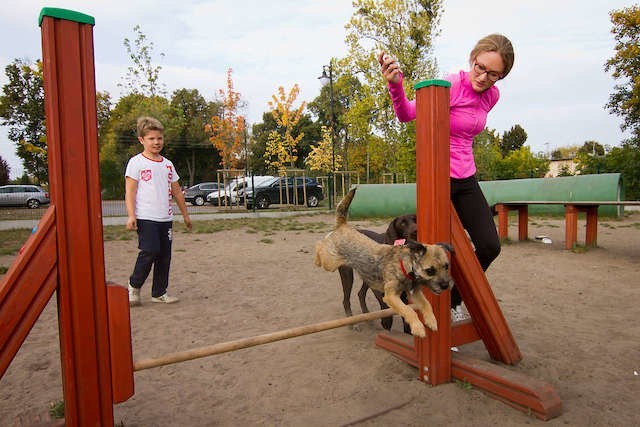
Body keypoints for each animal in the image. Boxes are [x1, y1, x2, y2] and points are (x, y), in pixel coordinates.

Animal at [316, 188, 456, 338]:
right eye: (430, 270)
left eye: (446, 266)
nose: (446, 285)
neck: (404, 265)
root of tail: (343, 225)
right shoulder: (390, 296)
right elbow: (408, 310)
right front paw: (417, 328)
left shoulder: (414, 293)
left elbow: (426, 304)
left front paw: (431, 321)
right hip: (336, 267)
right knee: (321, 249)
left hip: (367, 277)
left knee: (360, 294)